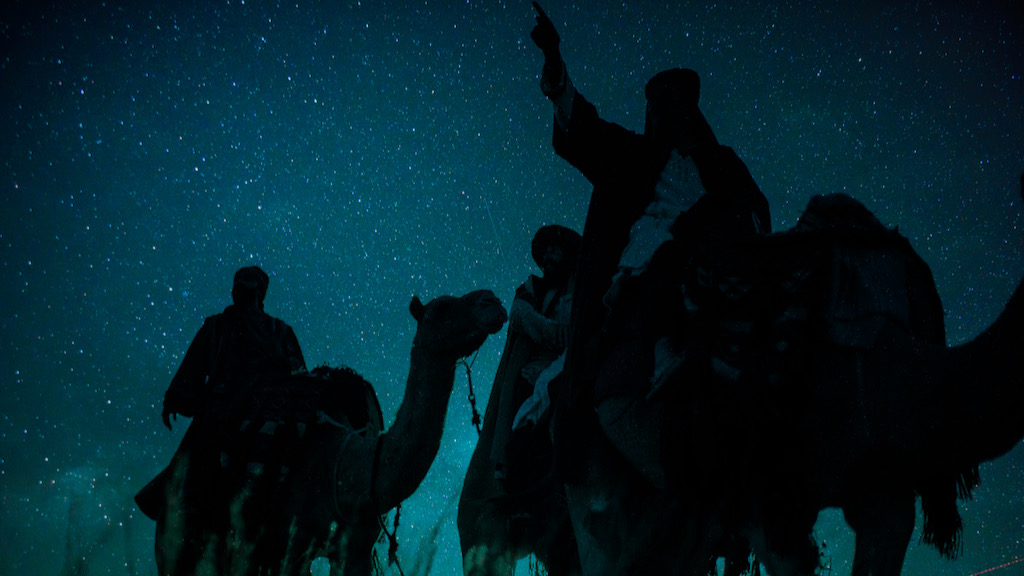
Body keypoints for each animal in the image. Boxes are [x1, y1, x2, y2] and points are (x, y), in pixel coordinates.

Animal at [148, 289, 507, 573]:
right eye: (442, 308)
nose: (492, 301)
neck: (345, 464)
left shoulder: (356, 549)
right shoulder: (292, 542)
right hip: (179, 532)